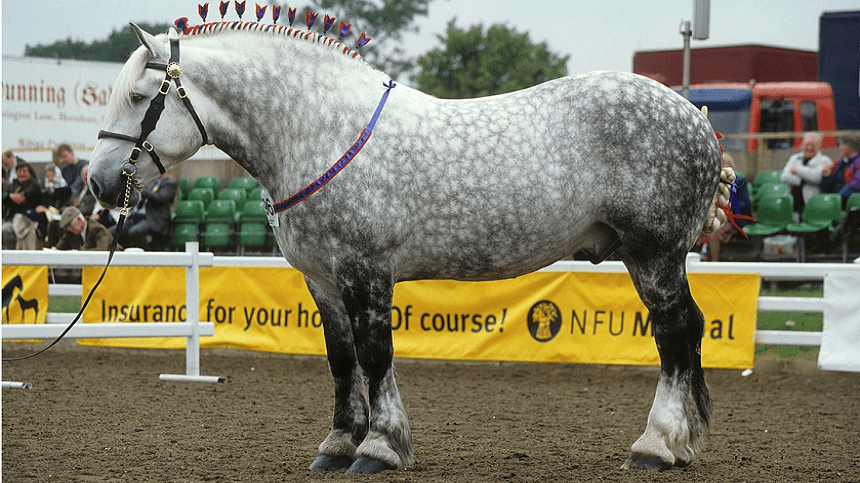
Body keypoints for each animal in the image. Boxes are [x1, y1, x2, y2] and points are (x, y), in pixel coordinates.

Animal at [87, 17, 728, 474]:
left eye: (142, 96)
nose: (96, 183)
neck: (320, 133)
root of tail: (694, 115)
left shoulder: (365, 272)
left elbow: (376, 356)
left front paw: (379, 448)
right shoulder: (322, 281)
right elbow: (341, 360)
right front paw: (337, 445)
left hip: (654, 255)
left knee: (674, 335)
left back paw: (655, 446)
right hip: (649, 258)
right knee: (687, 331)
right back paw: (682, 442)